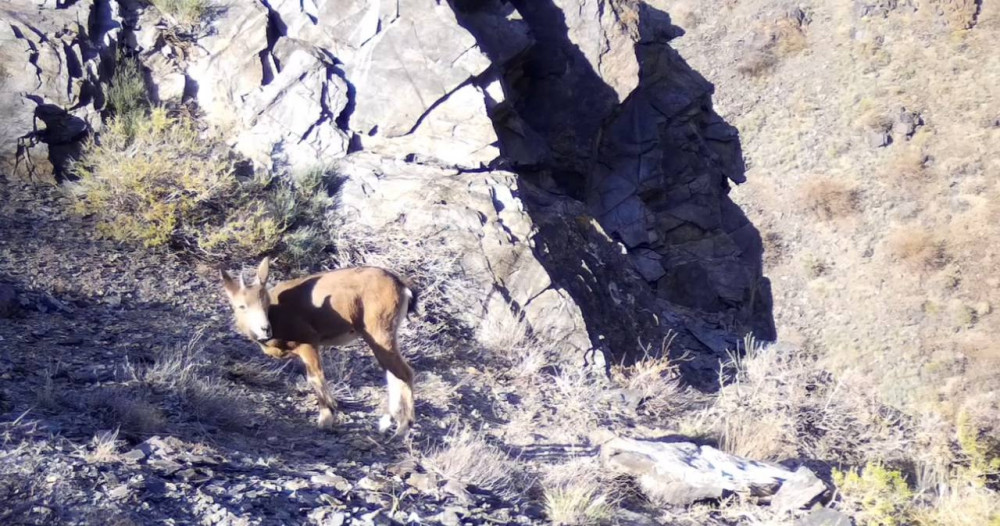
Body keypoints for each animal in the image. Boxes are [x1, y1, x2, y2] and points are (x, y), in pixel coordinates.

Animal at [221, 258, 416, 438]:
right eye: (241, 306)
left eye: (266, 303)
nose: (265, 329)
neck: (278, 316)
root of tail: (401, 287)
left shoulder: (308, 342)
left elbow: (315, 377)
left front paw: (326, 419)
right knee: (392, 372)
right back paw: (389, 423)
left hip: (379, 331)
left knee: (403, 372)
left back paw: (403, 427)